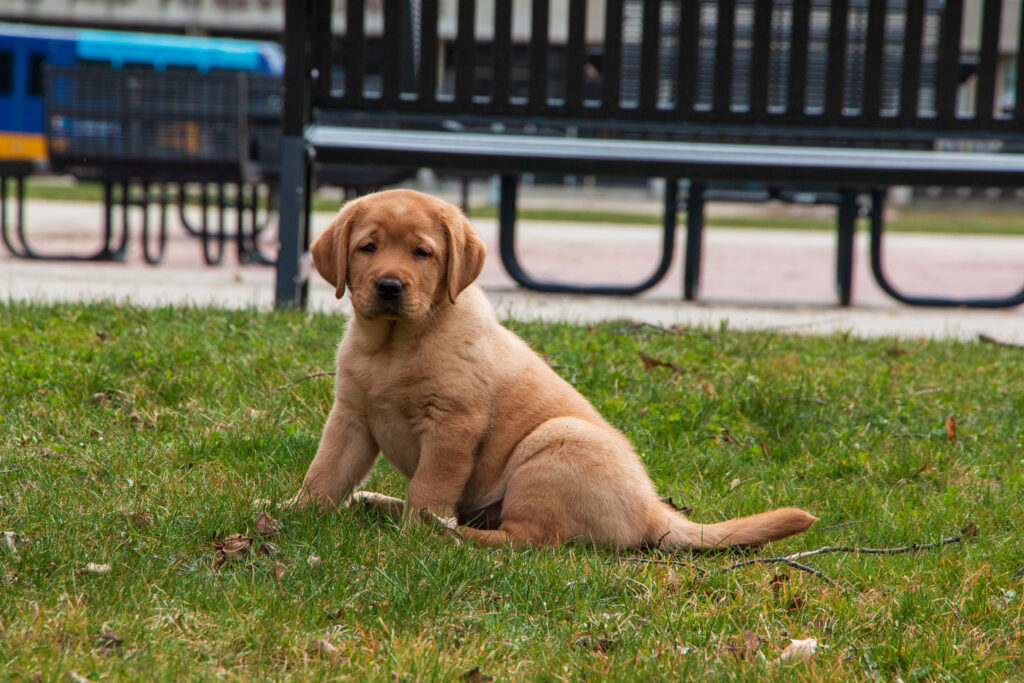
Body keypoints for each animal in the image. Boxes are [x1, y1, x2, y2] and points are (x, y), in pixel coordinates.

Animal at [290, 188, 815, 548]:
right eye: (368, 248)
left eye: (423, 253)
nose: (389, 286)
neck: (394, 346)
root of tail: (651, 510)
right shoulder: (350, 418)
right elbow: (325, 473)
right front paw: (297, 513)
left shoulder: (452, 426)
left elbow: (430, 486)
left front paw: (412, 536)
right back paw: (379, 505)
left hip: (552, 450)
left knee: (525, 539)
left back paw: (443, 532)